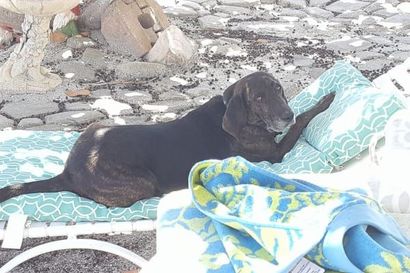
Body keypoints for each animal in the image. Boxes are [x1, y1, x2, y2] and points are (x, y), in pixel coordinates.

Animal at [0, 72, 334, 206]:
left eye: (278, 90)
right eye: (259, 98)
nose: (285, 114)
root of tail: (69, 170)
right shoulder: (275, 153)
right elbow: (303, 122)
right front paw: (326, 100)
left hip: (93, 128)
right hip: (142, 181)